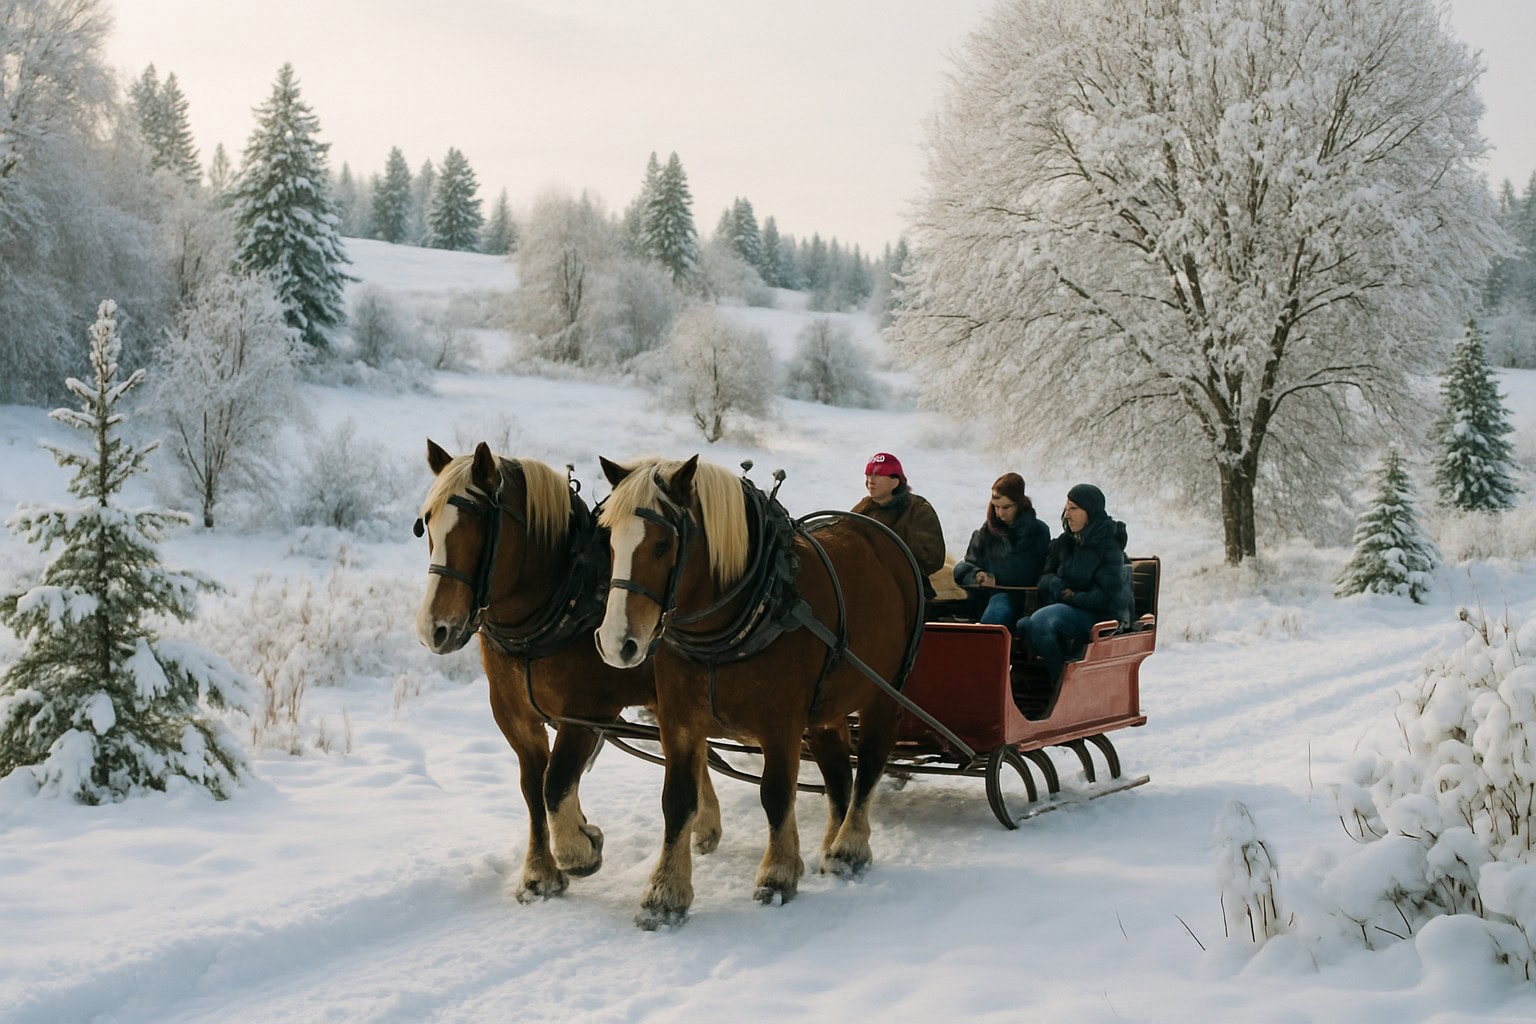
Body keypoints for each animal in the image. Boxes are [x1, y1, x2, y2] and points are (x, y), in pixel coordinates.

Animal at [413, 440, 722, 901]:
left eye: (476, 524)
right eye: (427, 522)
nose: (434, 628)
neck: (567, 595)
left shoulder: (587, 713)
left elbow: (555, 782)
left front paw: (578, 849)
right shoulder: (514, 716)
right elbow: (532, 788)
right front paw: (540, 871)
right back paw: (706, 822)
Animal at [594, 454, 924, 928]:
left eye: (662, 545)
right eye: (610, 540)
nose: (617, 643)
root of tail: (884, 538)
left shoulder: (781, 724)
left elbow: (776, 794)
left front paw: (778, 873)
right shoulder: (679, 721)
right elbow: (677, 801)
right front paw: (665, 893)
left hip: (883, 693)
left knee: (869, 767)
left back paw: (850, 846)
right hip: (827, 709)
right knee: (839, 775)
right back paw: (831, 842)